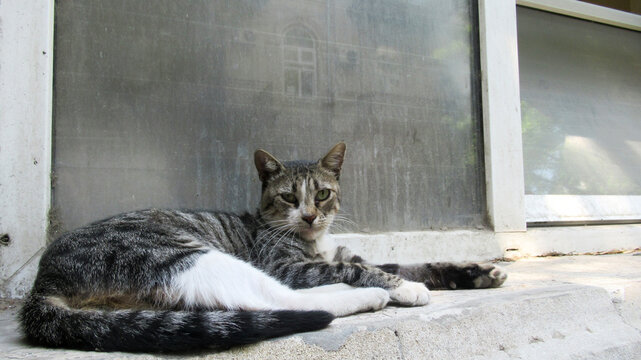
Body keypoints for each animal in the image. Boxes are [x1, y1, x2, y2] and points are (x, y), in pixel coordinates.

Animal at [20, 143, 504, 352]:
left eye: (322, 194)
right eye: (289, 198)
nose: (309, 215)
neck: (313, 240)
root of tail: (43, 282)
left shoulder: (338, 255)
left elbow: (407, 262)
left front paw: (476, 271)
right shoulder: (293, 266)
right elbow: (363, 269)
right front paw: (404, 288)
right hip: (183, 254)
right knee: (278, 300)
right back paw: (368, 296)